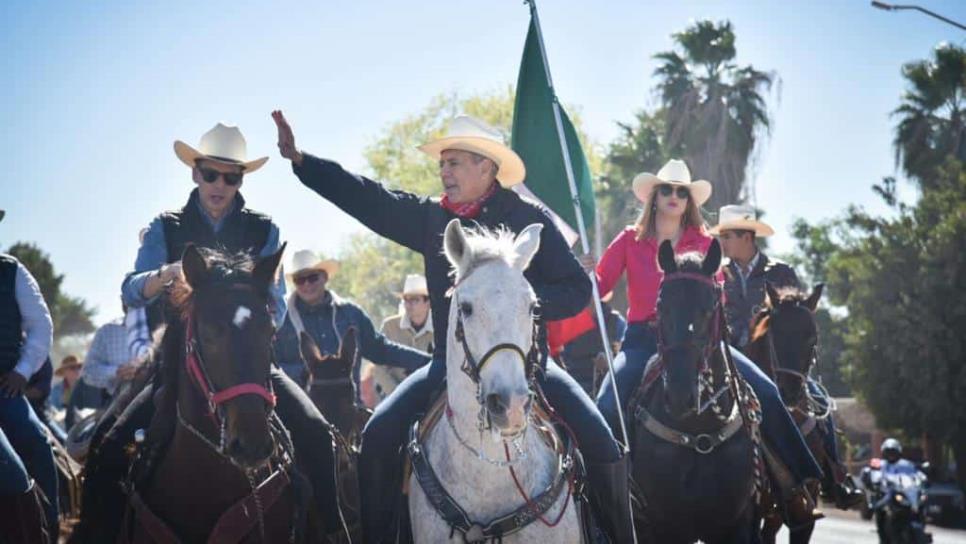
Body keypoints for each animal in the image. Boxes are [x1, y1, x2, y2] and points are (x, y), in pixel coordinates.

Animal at [628, 240, 764, 540]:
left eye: (711, 305)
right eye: (661, 305)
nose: (680, 396)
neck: (698, 433)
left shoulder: (735, 524)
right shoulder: (664, 527)